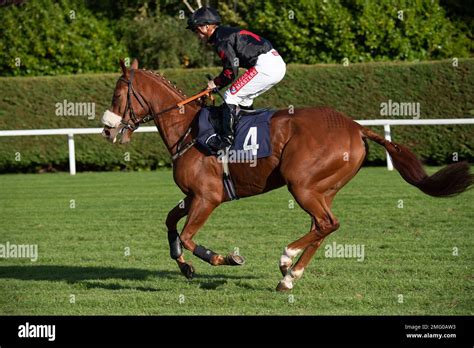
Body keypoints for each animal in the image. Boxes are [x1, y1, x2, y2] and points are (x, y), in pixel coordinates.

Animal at [101, 60, 470, 290]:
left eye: (117, 95)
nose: (107, 129)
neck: (188, 130)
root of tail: (355, 127)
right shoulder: (192, 196)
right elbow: (170, 224)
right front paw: (185, 266)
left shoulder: (208, 197)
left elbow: (190, 238)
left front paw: (227, 258)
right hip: (323, 188)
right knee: (323, 226)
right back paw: (290, 275)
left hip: (302, 184)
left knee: (326, 224)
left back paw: (286, 260)